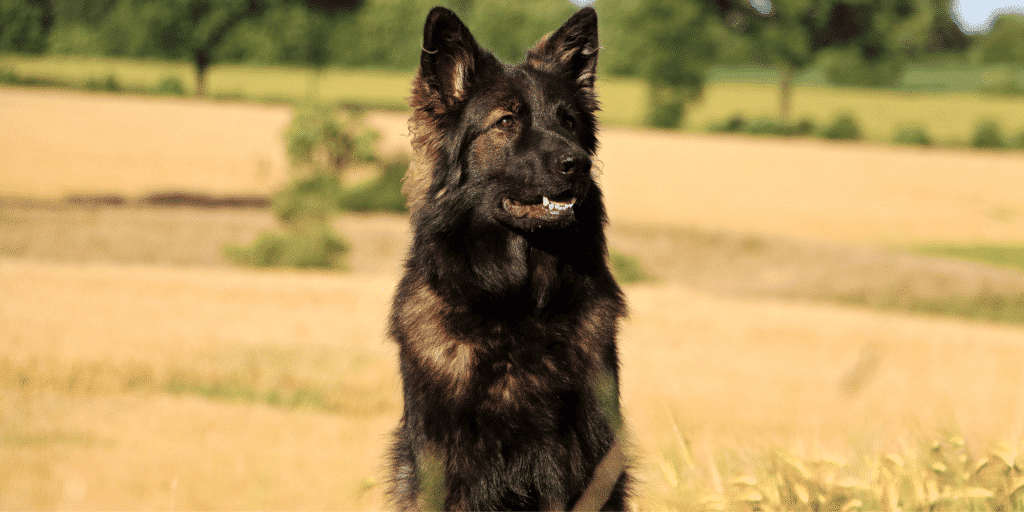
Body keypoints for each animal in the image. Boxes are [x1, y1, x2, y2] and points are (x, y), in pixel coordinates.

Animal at [387, 6, 626, 509]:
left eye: (569, 122)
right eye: (505, 121)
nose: (578, 164)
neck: (516, 305)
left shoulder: (575, 461)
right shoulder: (447, 469)